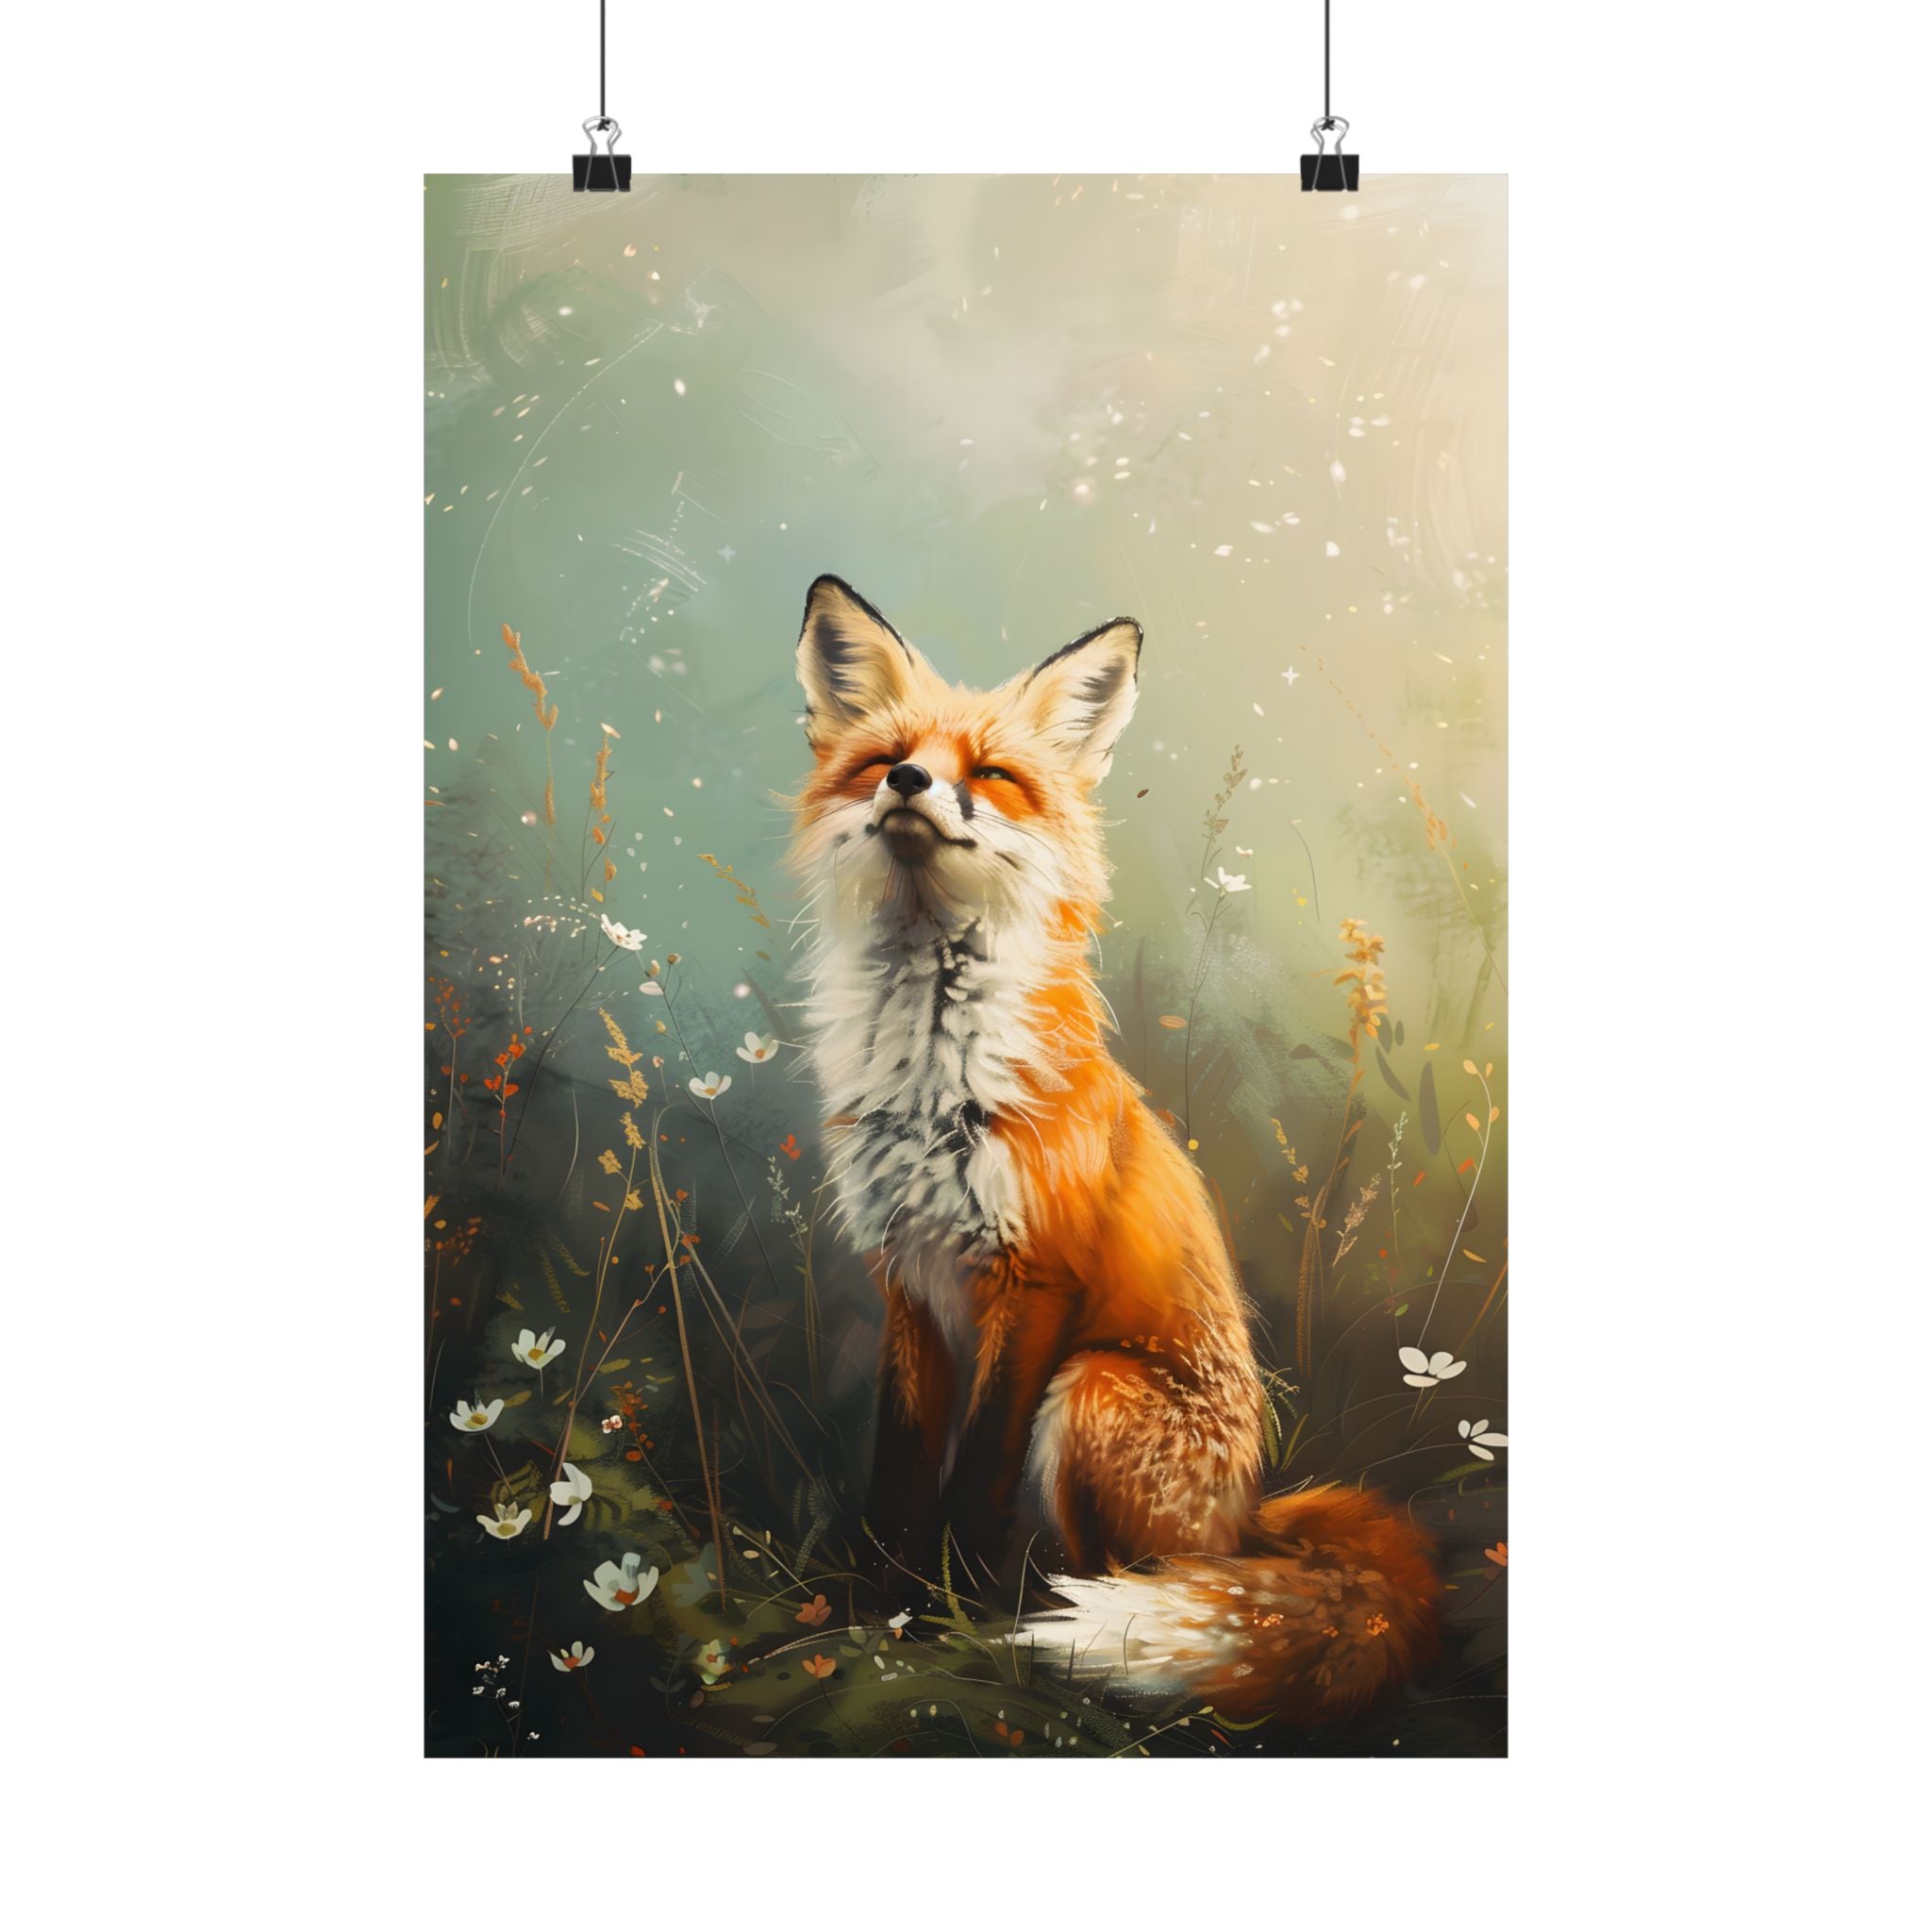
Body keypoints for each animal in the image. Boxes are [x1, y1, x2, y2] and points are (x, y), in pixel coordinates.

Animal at [786, 574, 1440, 1723]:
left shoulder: (1034, 1278)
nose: (910, 782)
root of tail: (1249, 1519)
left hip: (1090, 1389)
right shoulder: (906, 1276)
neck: (933, 1069)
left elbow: (973, 1481)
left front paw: (947, 1621)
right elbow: (897, 1470)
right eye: (887, 758)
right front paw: (878, 1607)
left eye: (990, 775)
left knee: (1139, 1579)